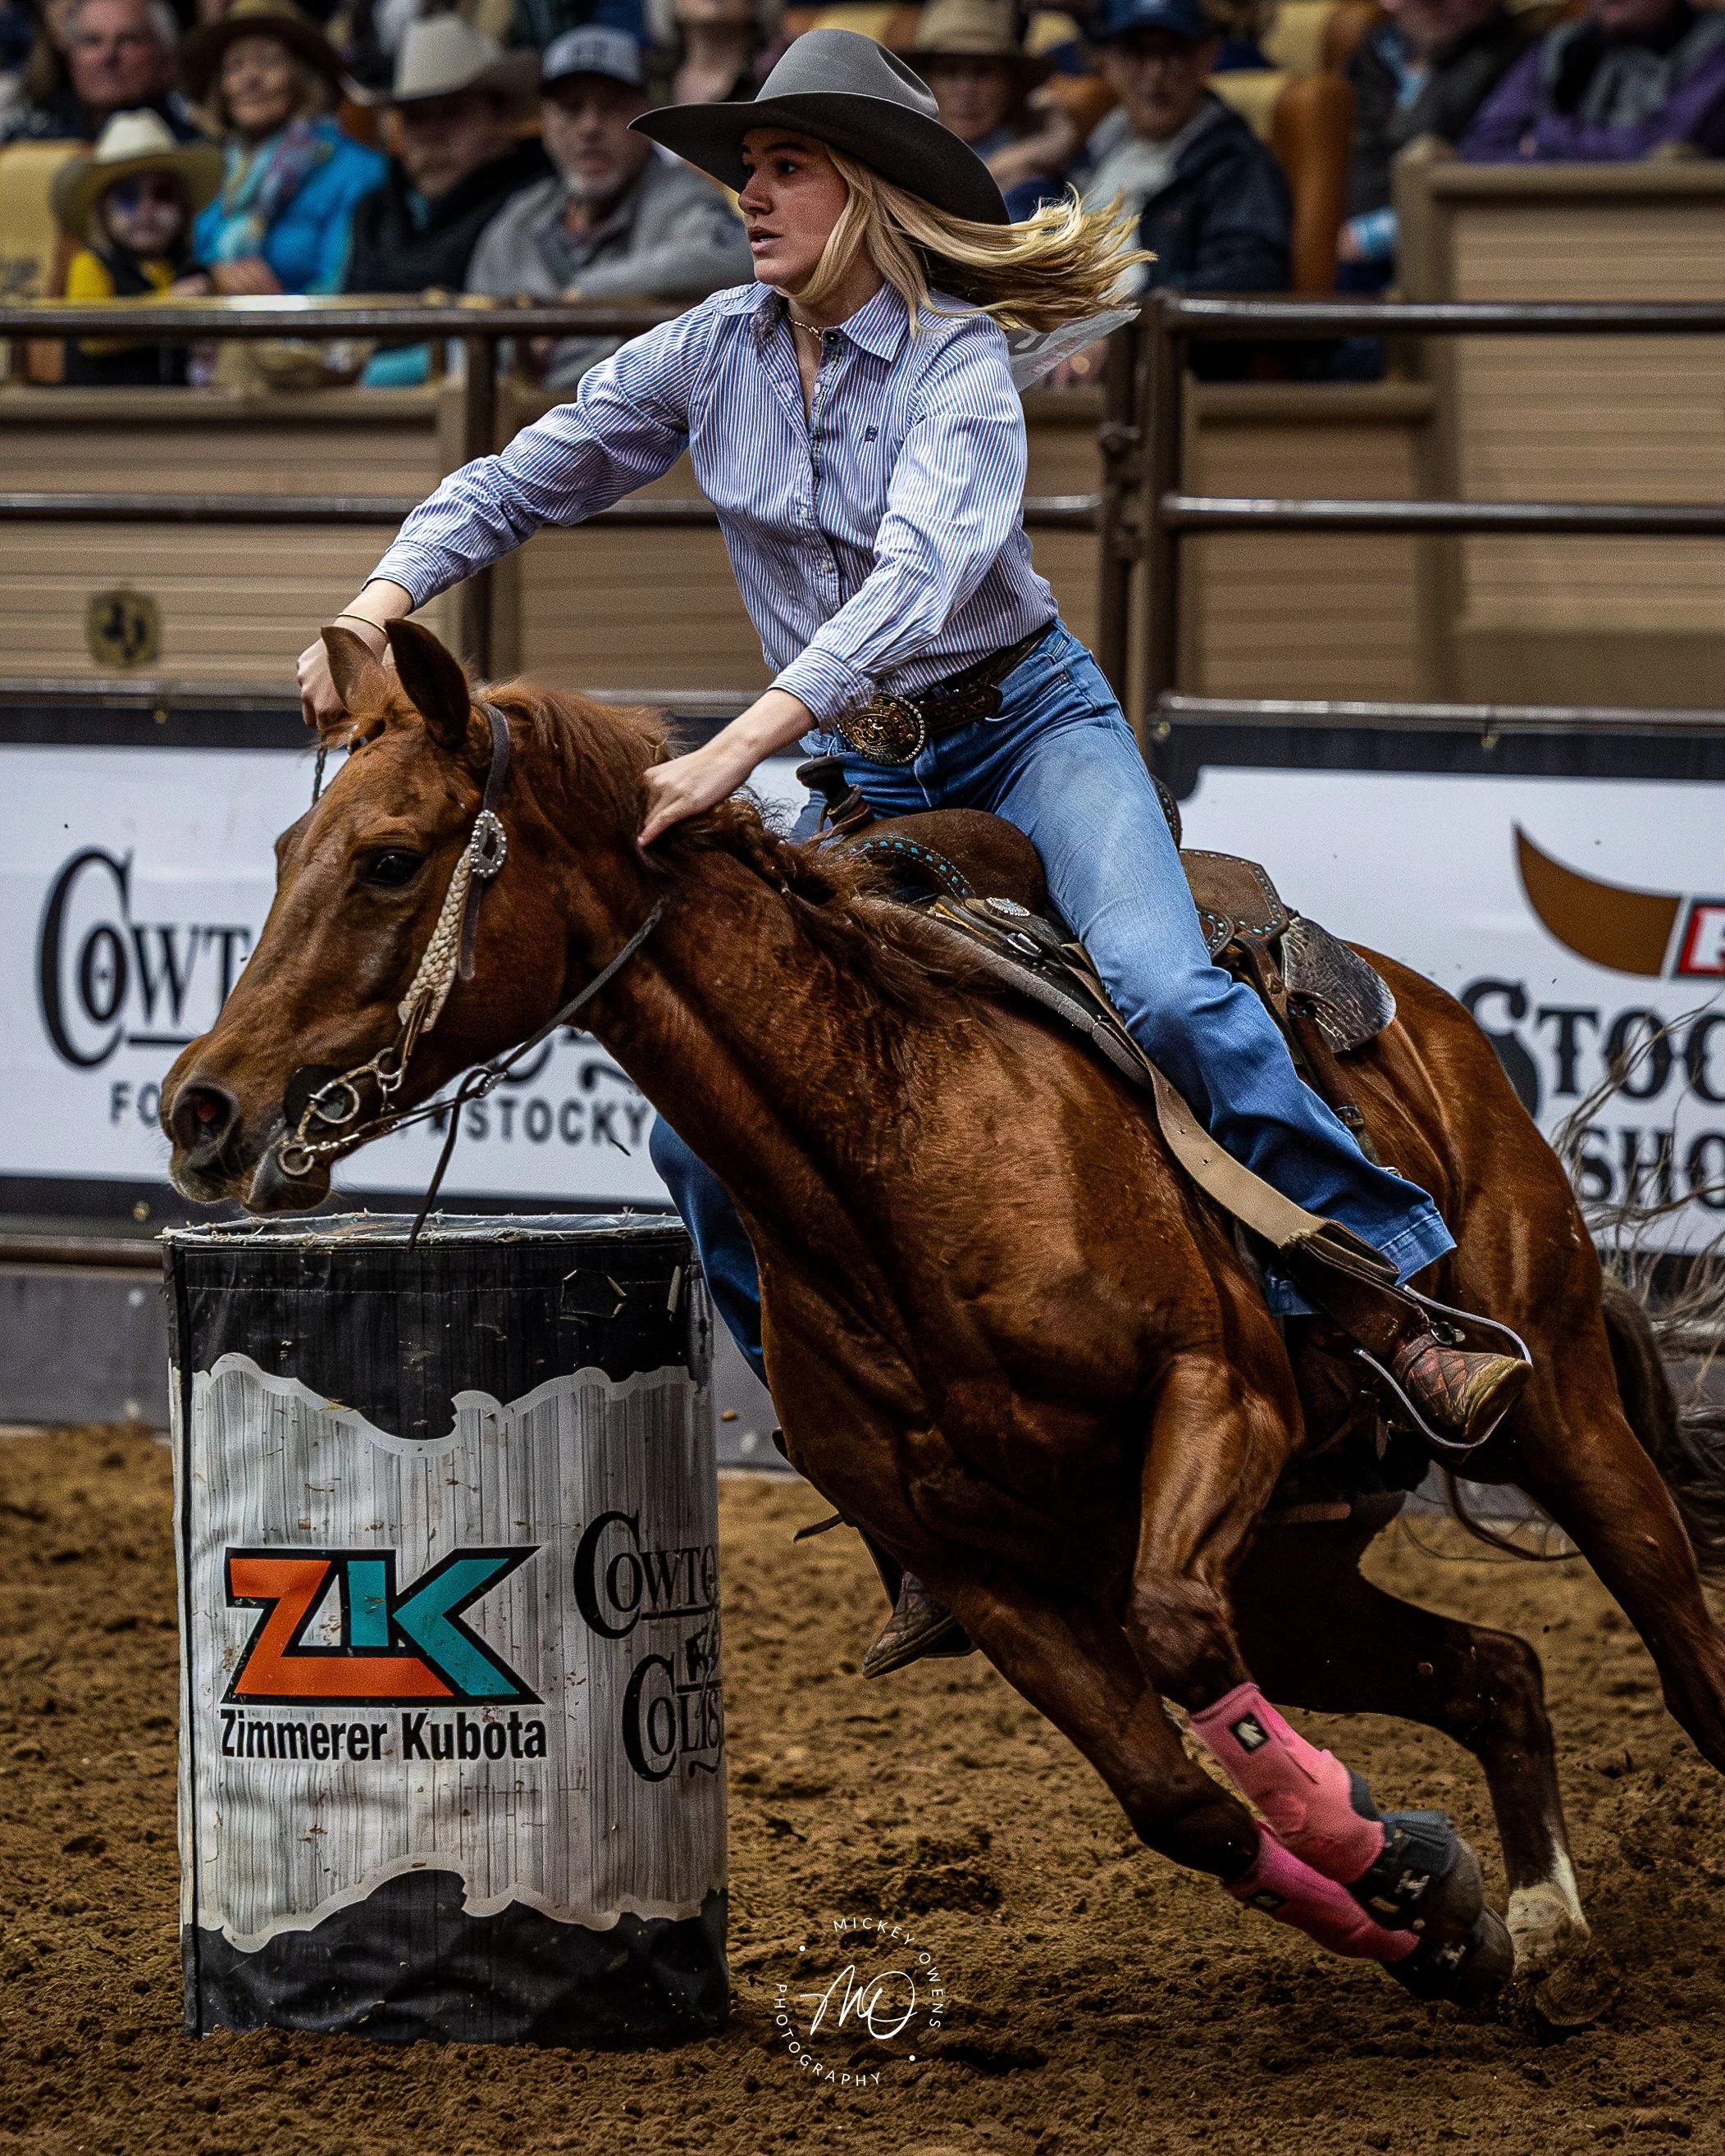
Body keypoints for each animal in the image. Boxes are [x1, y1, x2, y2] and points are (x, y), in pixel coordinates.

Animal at [161, 620, 1725, 2003]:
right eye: (289, 851)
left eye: (389, 858)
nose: (201, 1106)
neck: (898, 1131)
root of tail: (1431, 1020)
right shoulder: (983, 1566)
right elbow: (1179, 1802)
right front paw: (1427, 1906)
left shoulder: (1220, 1394)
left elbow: (1173, 1632)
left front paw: (1390, 1856)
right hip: (1297, 1567)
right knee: (1492, 1667)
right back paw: (1540, 1920)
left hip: (1558, 1406)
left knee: (1678, 1641)